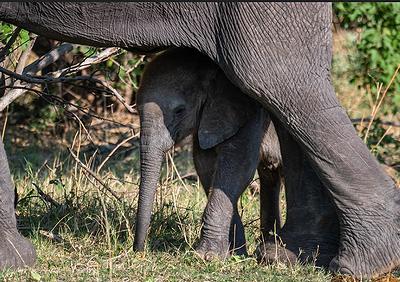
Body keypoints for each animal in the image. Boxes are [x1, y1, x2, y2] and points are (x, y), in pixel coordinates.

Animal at [134, 47, 282, 258]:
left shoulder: (245, 109)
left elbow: (239, 167)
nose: (138, 250)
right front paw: (235, 252)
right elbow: (205, 165)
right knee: (270, 175)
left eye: (179, 111)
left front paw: (207, 256)